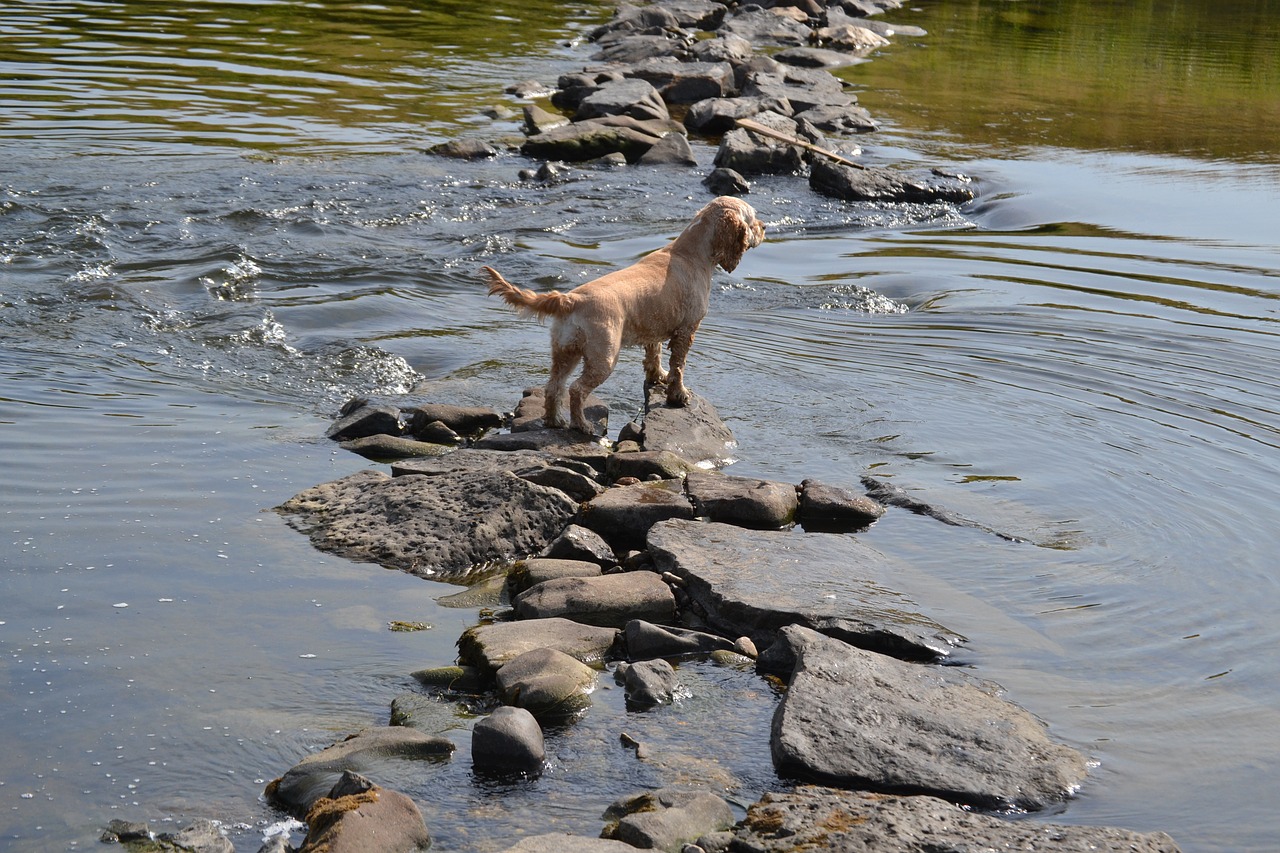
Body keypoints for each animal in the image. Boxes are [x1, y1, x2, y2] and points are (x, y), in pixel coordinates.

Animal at [481, 194, 757, 432]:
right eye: (753, 219)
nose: (763, 227)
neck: (691, 253)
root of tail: (570, 299)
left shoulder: (653, 330)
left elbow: (654, 357)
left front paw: (658, 378)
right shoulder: (687, 330)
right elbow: (678, 366)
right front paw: (679, 395)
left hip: (565, 352)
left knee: (554, 387)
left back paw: (555, 421)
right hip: (604, 357)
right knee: (576, 390)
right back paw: (582, 426)